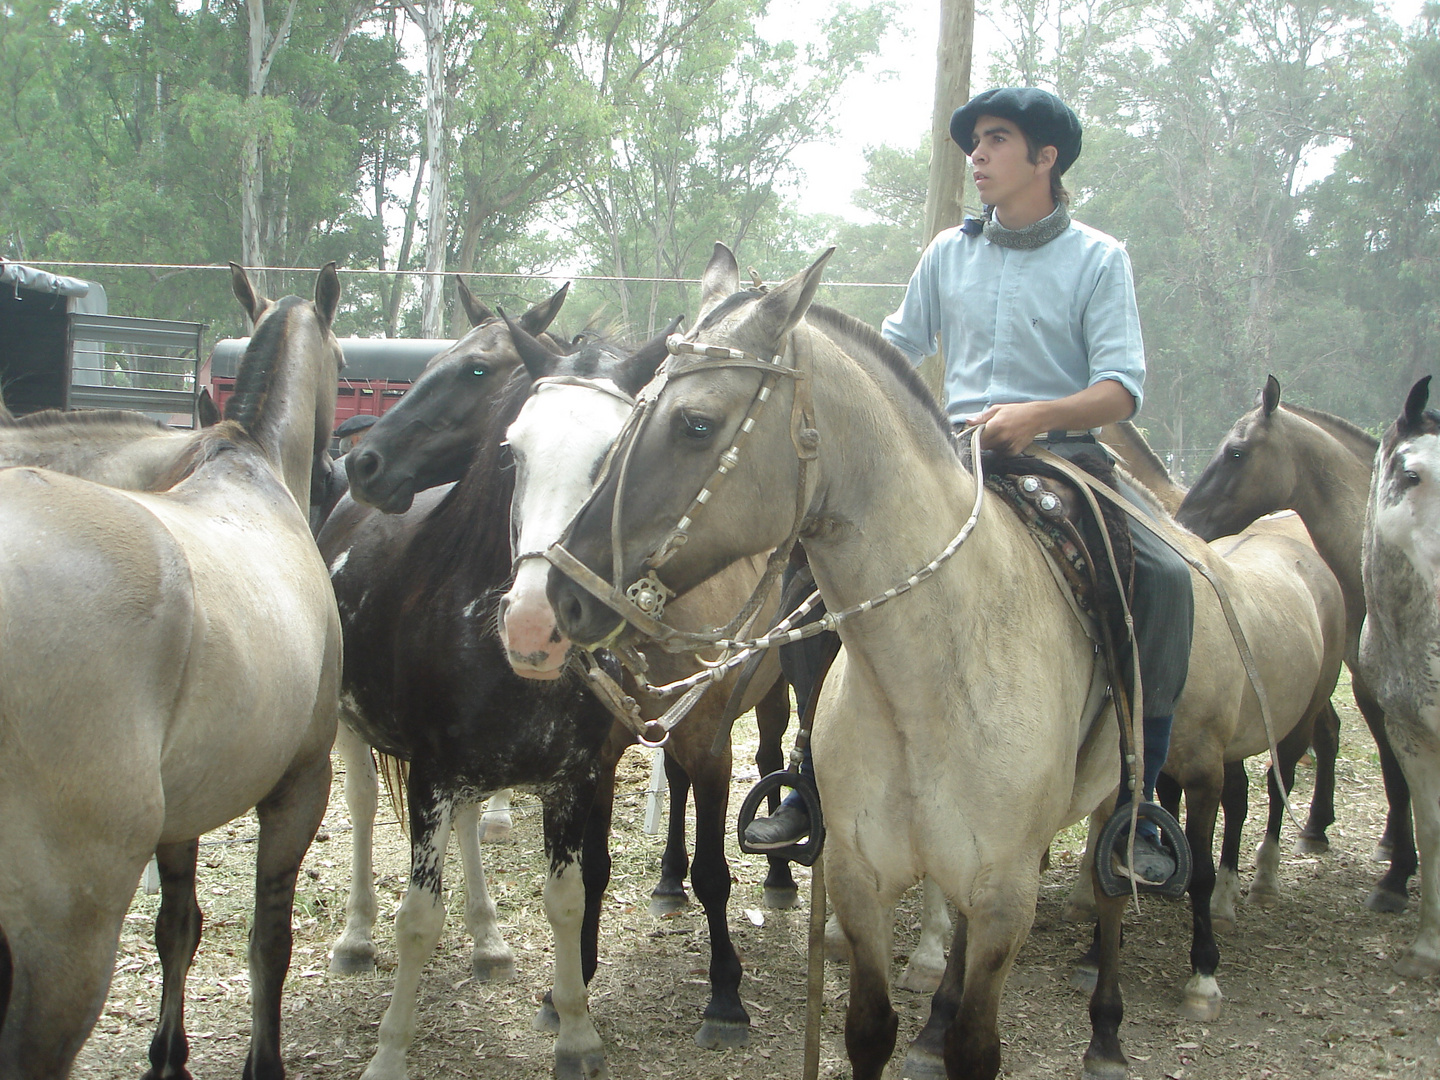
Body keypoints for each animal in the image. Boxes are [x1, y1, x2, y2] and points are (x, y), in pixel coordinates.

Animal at [0, 264, 341, 1080]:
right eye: (345, 363)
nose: (338, 470)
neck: (252, 467)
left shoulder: (182, 813)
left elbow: (178, 927)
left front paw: (168, 1055)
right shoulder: (300, 786)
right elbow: (269, 940)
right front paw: (262, 1063)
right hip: (67, 943)